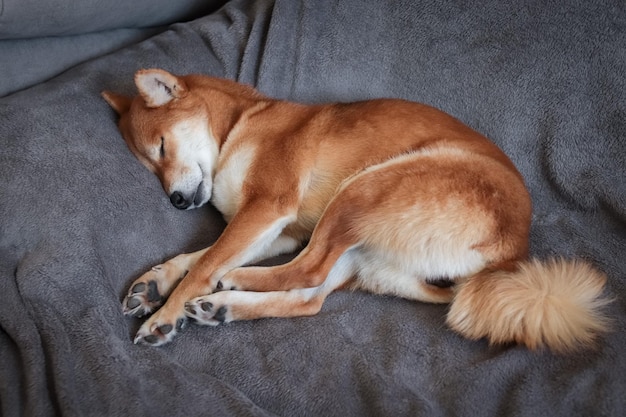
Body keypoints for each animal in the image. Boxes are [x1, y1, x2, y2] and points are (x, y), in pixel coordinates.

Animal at [101, 70, 604, 350]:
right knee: (309, 296)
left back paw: (232, 285)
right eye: (150, 166)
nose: (175, 200)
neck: (240, 126)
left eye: (161, 147)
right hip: (358, 246)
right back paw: (222, 308)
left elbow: (206, 263)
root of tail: (511, 254)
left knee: (306, 271)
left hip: (363, 188)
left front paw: (165, 314)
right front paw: (157, 281)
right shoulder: (280, 229)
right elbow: (198, 256)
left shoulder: (267, 207)